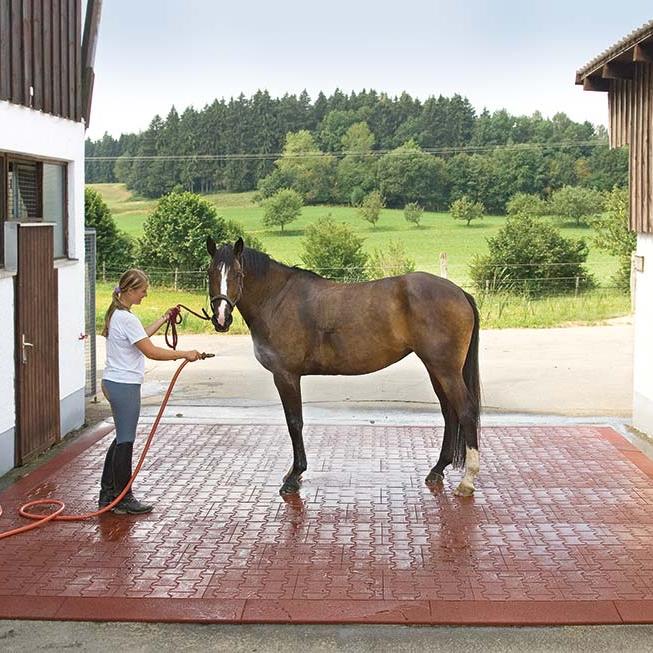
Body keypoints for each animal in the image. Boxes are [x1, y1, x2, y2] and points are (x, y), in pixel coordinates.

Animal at [206, 237, 481, 497]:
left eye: (238, 274)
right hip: (437, 369)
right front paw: (293, 473)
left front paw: (294, 477)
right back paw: (437, 469)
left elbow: (294, 422)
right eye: (210, 273)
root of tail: (459, 293)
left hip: (446, 370)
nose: (221, 318)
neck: (277, 299)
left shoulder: (286, 376)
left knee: (465, 411)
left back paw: (467, 482)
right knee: (449, 412)